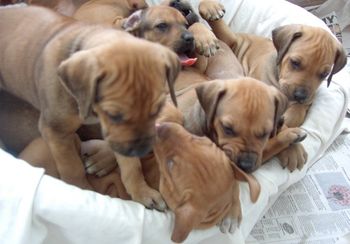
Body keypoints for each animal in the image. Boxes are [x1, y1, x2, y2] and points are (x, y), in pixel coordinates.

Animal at [0, 5, 180, 189]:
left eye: (156, 110)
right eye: (113, 115)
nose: (142, 151)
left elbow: (131, 167)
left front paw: (140, 190)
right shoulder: (55, 133)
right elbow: (72, 168)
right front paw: (79, 188)